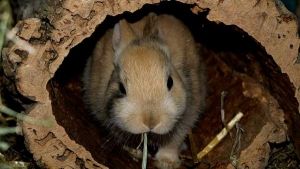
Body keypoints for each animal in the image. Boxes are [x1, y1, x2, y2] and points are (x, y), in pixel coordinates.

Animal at [82, 13, 206, 169]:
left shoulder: (188, 115)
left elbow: (173, 142)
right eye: (121, 88)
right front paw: (136, 153)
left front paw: (166, 163)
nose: (150, 122)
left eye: (170, 82)